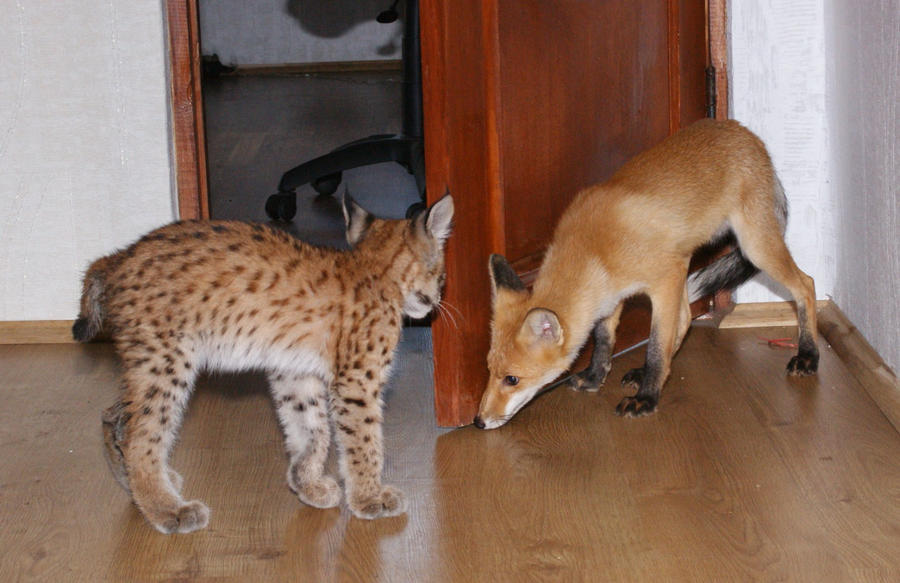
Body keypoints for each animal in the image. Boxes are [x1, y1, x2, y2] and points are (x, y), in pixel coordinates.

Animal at [474, 119, 819, 430]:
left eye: (512, 379)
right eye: (489, 371)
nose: (478, 421)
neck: (593, 248)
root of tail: (747, 133)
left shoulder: (665, 278)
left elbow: (655, 346)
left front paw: (647, 398)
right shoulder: (610, 296)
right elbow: (604, 340)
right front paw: (596, 377)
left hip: (754, 247)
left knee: (806, 284)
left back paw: (809, 355)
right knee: (685, 319)